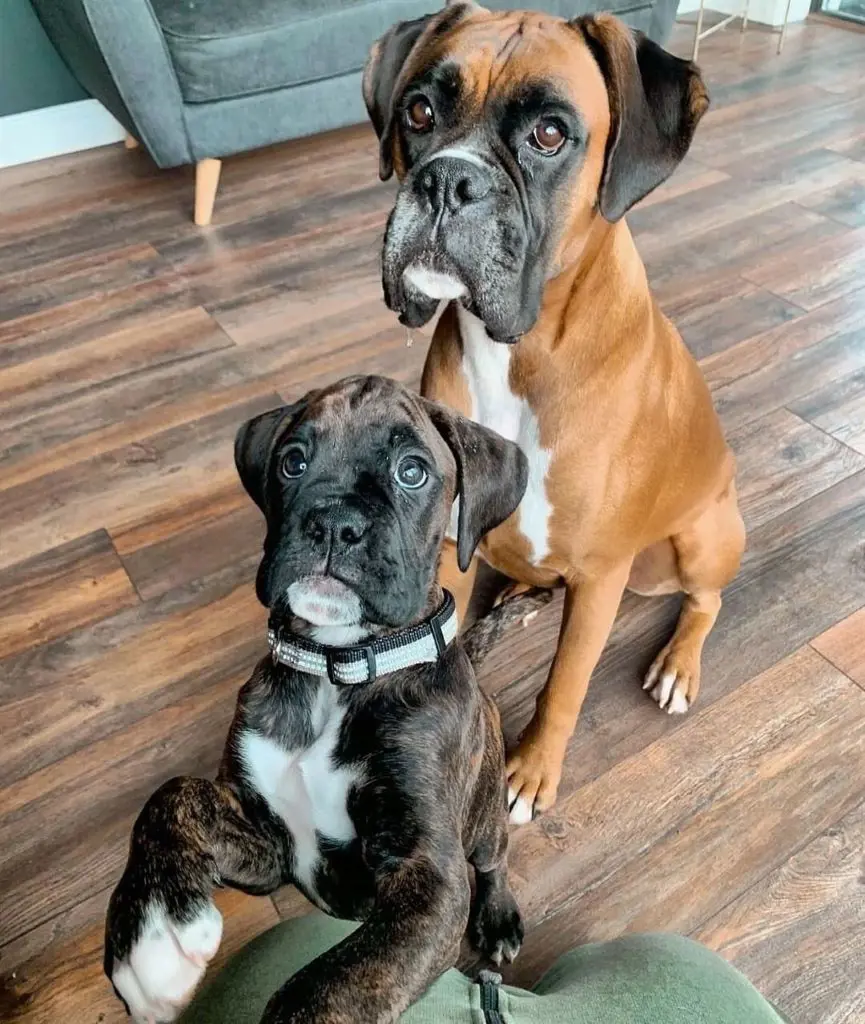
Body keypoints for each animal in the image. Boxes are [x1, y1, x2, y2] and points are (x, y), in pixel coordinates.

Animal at [104, 378, 548, 1024]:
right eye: (293, 462)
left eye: (412, 471)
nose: (334, 522)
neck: (337, 670)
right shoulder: (271, 846)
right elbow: (175, 795)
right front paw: (151, 929)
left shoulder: (430, 881)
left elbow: (330, 985)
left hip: (485, 811)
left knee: (494, 858)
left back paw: (497, 916)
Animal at [360, 2, 745, 823]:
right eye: (418, 112)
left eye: (547, 134)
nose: (448, 180)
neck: (519, 354)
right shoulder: (445, 542)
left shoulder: (599, 579)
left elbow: (565, 684)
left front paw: (532, 771)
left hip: (698, 539)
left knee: (707, 598)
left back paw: (678, 664)